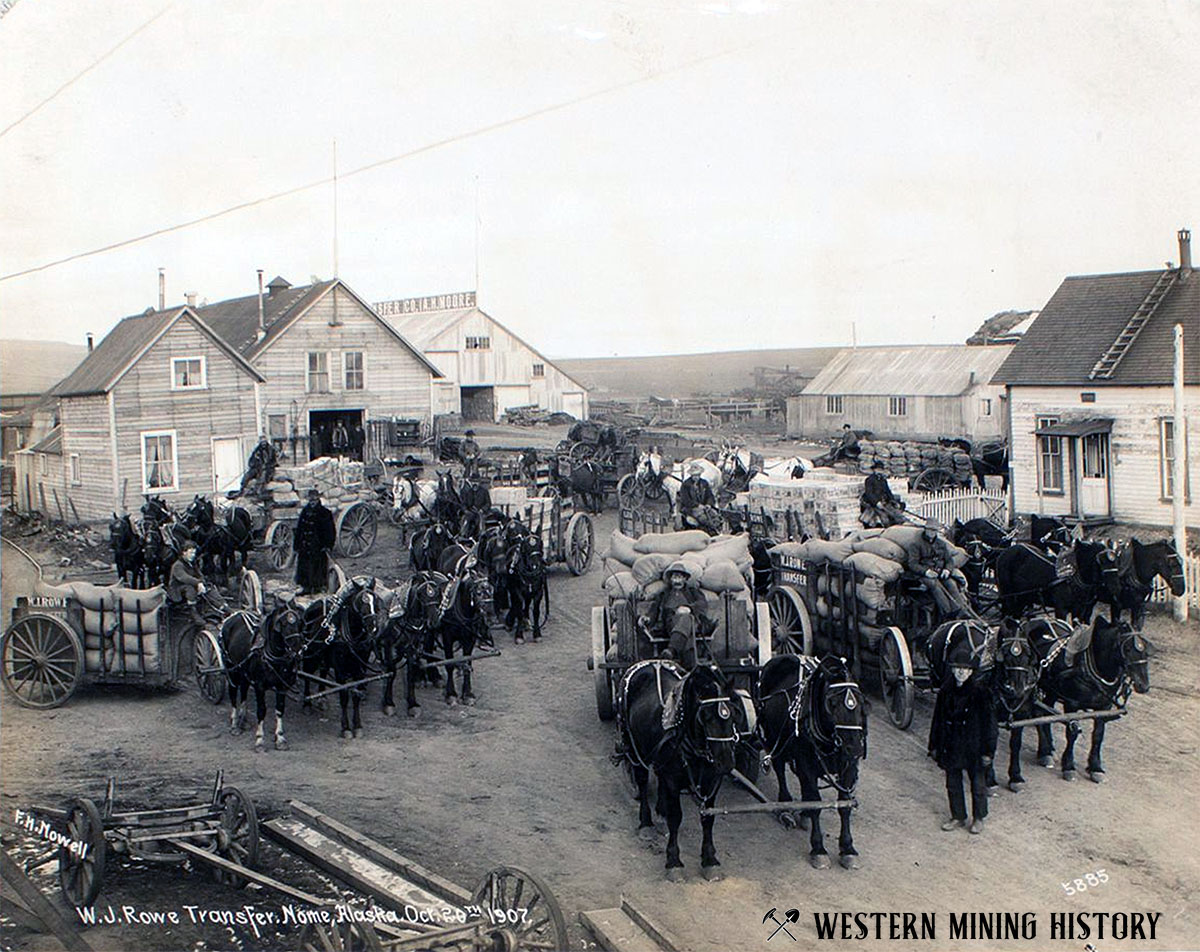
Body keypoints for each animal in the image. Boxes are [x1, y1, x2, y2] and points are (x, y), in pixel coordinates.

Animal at [219, 602, 304, 749]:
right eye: (283, 623)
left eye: (298, 622)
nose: (297, 647)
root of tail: (234, 615)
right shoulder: (260, 686)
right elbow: (261, 710)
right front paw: (259, 739)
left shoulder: (282, 686)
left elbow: (280, 709)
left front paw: (280, 737)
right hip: (232, 669)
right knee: (233, 693)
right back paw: (235, 724)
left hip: (243, 671)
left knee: (244, 691)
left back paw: (243, 720)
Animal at [619, 657, 748, 878]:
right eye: (705, 717)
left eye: (734, 713)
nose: (726, 762)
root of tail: (651, 662)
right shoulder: (673, 779)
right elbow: (676, 817)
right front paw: (673, 861)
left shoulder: (712, 780)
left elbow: (708, 817)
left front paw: (709, 859)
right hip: (634, 749)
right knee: (642, 781)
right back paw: (646, 823)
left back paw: (660, 812)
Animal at [758, 653, 864, 869]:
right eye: (831, 703)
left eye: (861, 701)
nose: (856, 747)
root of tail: (779, 657)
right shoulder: (806, 761)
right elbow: (816, 802)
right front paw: (818, 848)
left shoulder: (848, 766)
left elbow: (844, 804)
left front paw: (848, 848)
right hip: (775, 740)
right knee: (779, 767)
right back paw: (785, 805)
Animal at [1003, 612, 1142, 782]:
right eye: (1127, 649)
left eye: (1146, 649)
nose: (1143, 685)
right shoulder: (1072, 704)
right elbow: (1072, 732)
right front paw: (1068, 766)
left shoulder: (1104, 707)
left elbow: (1098, 735)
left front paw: (1095, 767)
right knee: (1039, 714)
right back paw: (1045, 752)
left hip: (1052, 690)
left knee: (1045, 713)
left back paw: (1049, 749)